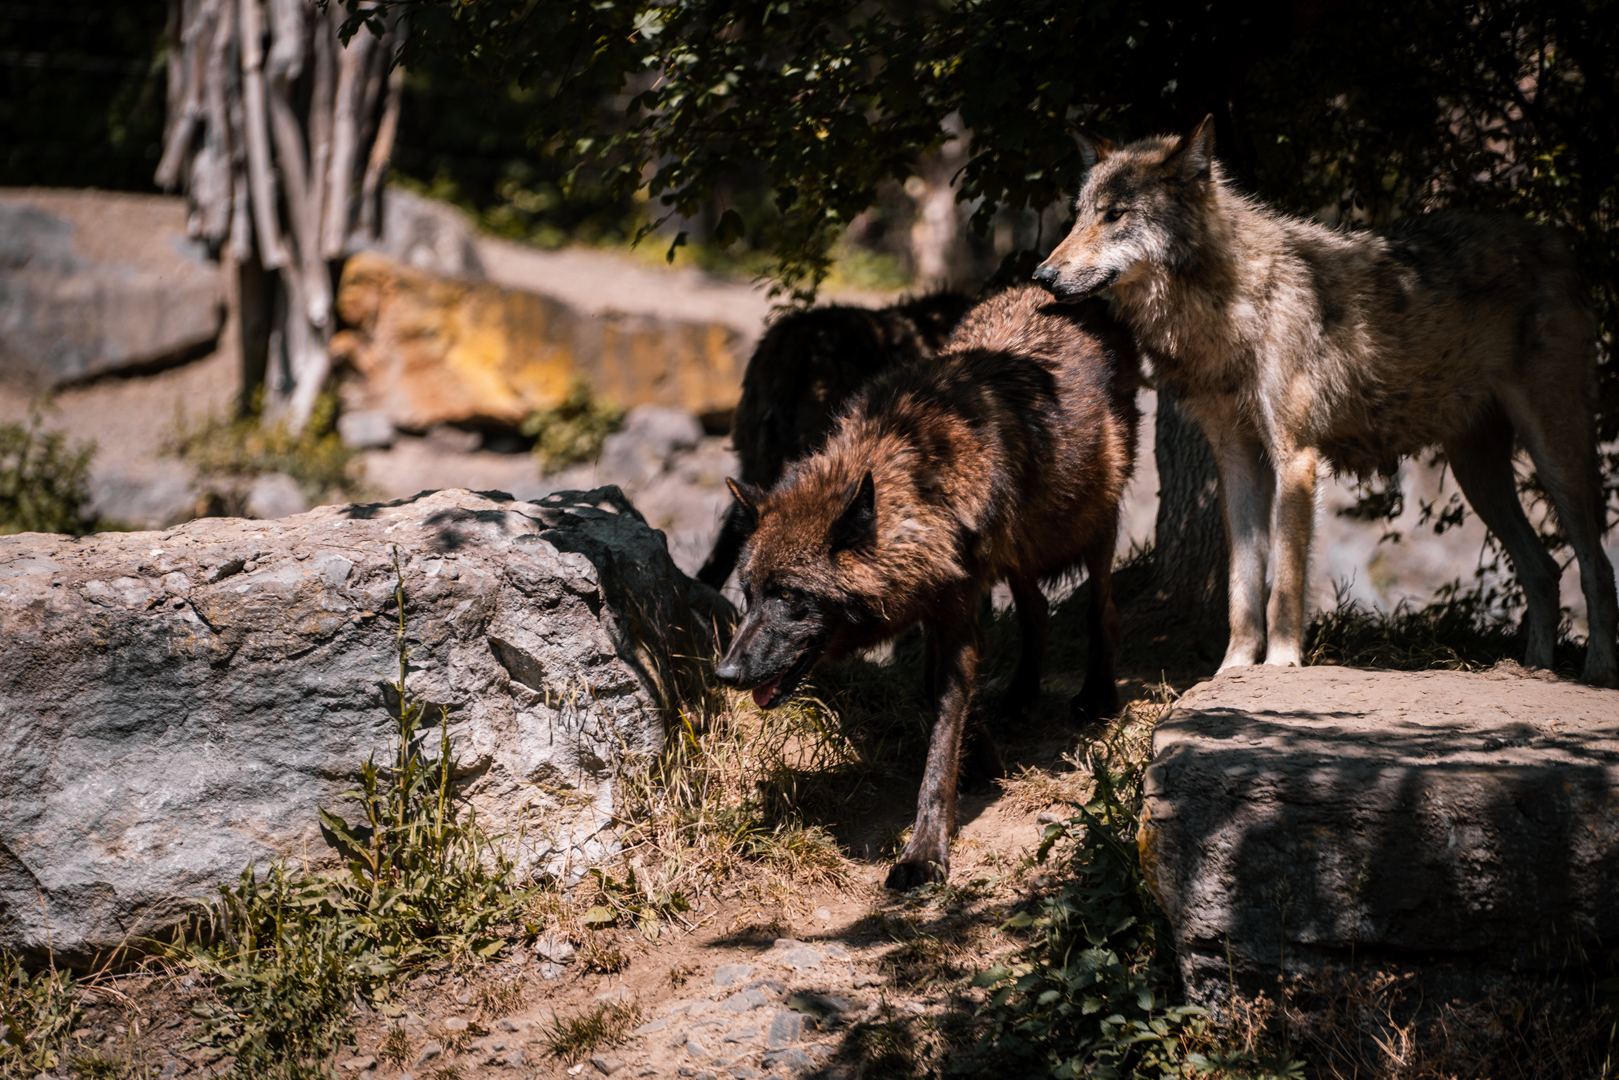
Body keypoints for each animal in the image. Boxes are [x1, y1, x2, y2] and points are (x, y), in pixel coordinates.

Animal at [1033, 116, 1618, 686]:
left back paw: (1595, 672)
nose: (1042, 276)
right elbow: (1242, 585)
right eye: (1079, 215)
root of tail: (1554, 240)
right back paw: (1535, 670)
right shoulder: (1237, 459)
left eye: (1115, 216)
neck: (1231, 304)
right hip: (1478, 473)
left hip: (1554, 453)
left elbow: (1286, 582)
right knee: (1545, 569)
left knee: (1596, 564)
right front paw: (1232, 669)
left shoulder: (1294, 455)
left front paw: (1280, 663)